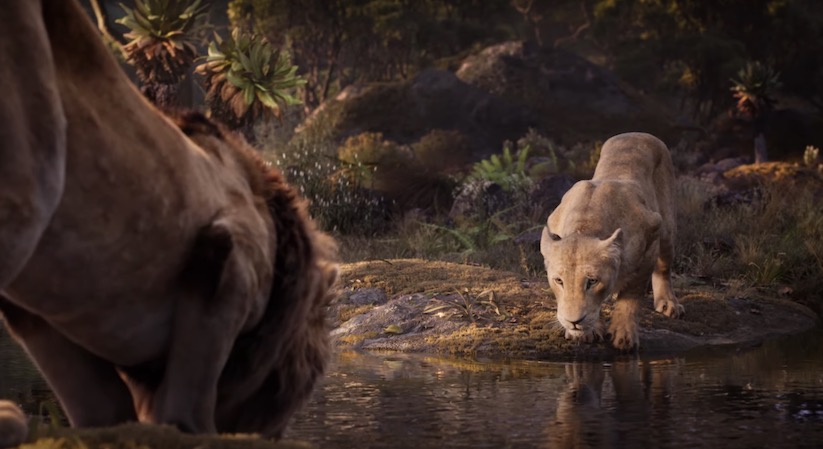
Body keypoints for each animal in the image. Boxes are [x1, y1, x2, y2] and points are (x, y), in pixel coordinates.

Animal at [0, 0, 336, 439]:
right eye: (314, 363)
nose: (279, 429)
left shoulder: (44, 317)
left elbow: (97, 404)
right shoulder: (231, 269)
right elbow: (189, 396)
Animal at [540, 132, 683, 351]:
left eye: (592, 281)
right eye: (559, 281)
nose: (574, 321)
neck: (586, 225)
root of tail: (637, 133)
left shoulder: (650, 234)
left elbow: (631, 295)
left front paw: (623, 335)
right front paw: (587, 332)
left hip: (667, 227)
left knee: (664, 267)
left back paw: (669, 303)